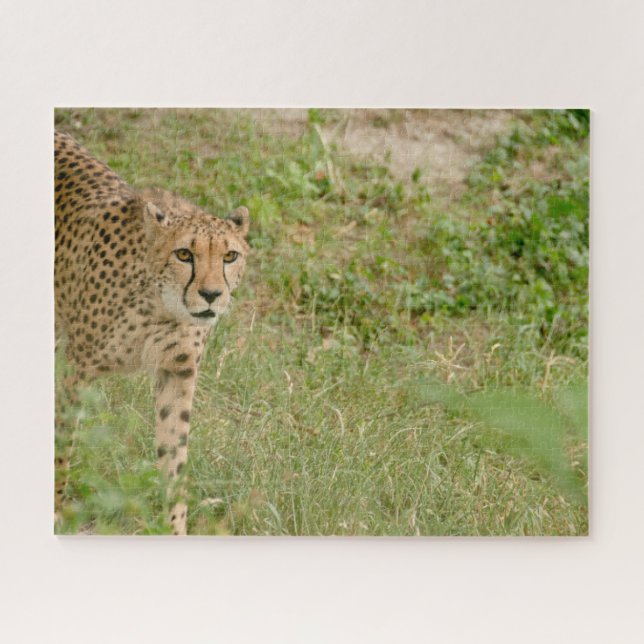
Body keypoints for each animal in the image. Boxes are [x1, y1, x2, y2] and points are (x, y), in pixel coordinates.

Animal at [54, 129, 250, 535]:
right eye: (184, 255)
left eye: (229, 257)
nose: (212, 295)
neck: (160, 307)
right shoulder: (75, 368)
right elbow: (61, 445)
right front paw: (54, 510)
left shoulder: (177, 372)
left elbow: (174, 458)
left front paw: (174, 529)